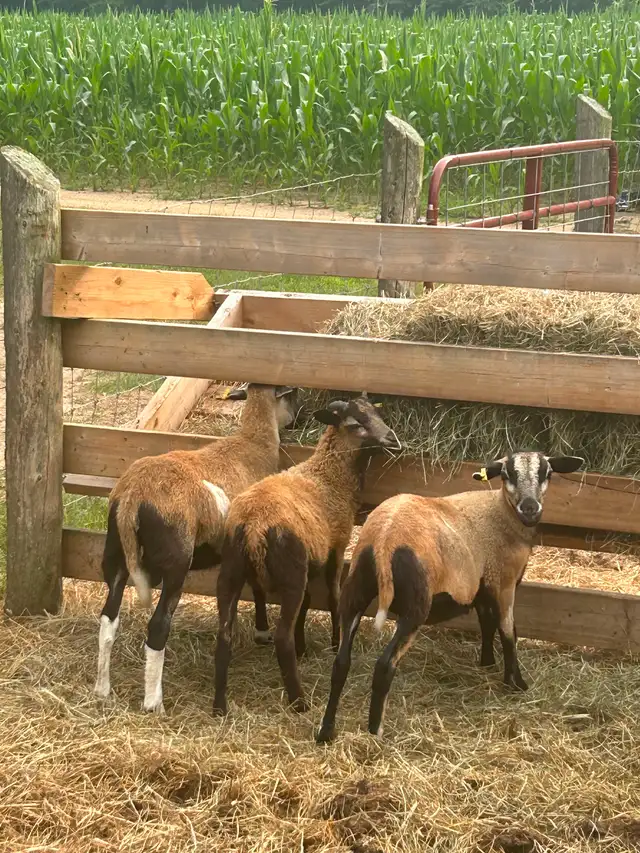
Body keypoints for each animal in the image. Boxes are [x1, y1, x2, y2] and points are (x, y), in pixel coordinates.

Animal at [93, 383, 300, 714]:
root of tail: (132, 497)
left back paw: (102, 688)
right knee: (158, 628)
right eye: (292, 396)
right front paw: (262, 630)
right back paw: (154, 703)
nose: (298, 417)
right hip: (176, 562)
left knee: (108, 619)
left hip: (115, 553)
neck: (254, 442)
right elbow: (256, 587)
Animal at [212, 393, 401, 716]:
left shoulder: (311, 562)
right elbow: (335, 596)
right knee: (281, 637)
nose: (392, 439)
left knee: (225, 634)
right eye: (355, 423)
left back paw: (220, 706)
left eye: (378, 413)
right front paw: (335, 641)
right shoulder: (337, 545)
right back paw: (299, 700)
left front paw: (304, 646)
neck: (329, 473)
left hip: (232, 571)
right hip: (290, 574)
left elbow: (309, 601)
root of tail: (253, 525)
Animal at [316, 451, 584, 742]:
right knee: (385, 665)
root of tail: (385, 540)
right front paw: (516, 683)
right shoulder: (503, 581)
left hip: (355, 589)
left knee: (341, 663)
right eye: (507, 474)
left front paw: (487, 664)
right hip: (415, 606)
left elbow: (486, 623)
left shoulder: (480, 585)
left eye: (547, 473)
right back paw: (376, 731)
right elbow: (508, 630)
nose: (530, 508)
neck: (502, 511)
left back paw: (326, 731)